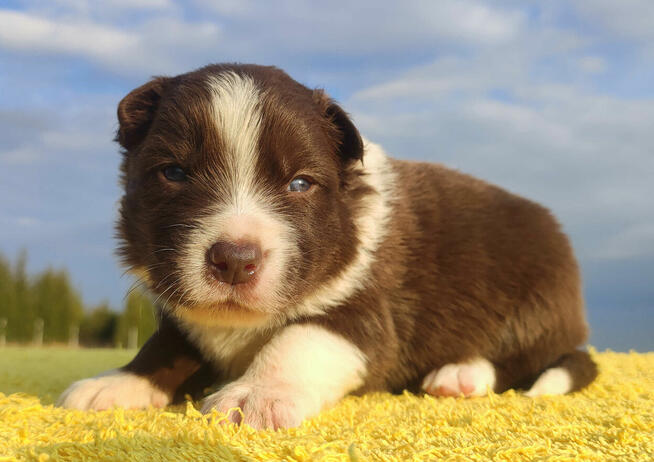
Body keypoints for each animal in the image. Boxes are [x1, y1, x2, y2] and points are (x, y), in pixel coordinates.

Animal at [59, 64, 596, 430]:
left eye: (300, 183)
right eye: (172, 173)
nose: (235, 260)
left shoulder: (365, 313)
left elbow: (298, 340)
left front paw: (255, 395)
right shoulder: (186, 318)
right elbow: (165, 347)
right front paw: (118, 383)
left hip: (538, 299)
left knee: (526, 359)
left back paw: (461, 374)